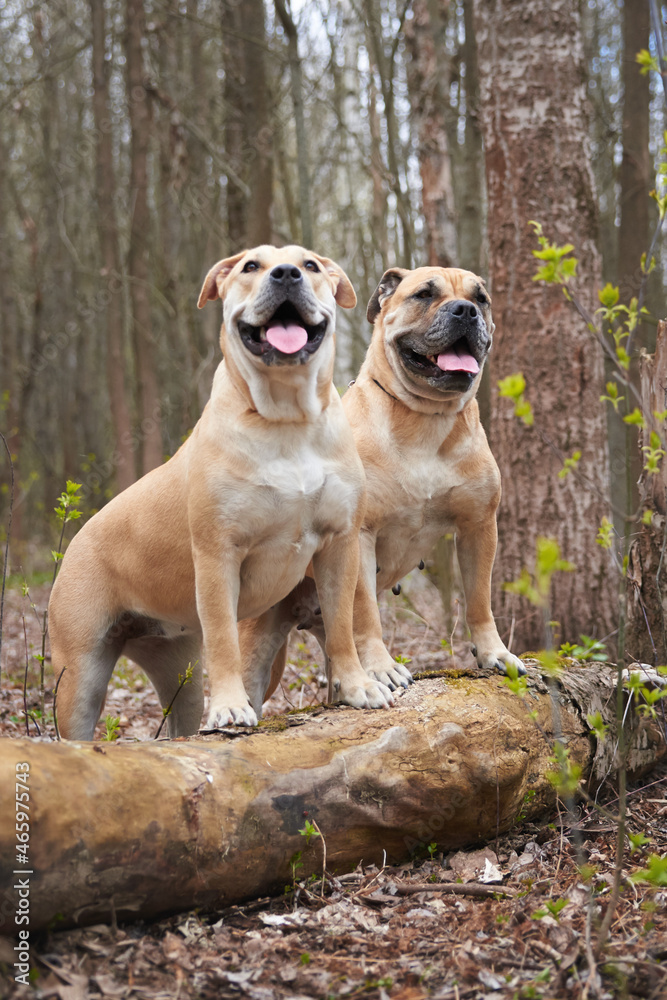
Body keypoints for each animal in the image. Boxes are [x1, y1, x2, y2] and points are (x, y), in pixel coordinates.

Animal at [52, 245, 396, 740]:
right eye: (251, 266)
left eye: (310, 265)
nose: (286, 274)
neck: (286, 419)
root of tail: (75, 542)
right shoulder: (219, 554)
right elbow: (223, 639)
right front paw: (232, 707)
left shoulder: (340, 545)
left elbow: (341, 624)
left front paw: (355, 686)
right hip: (80, 675)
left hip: (177, 671)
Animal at [240, 266, 528, 704]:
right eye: (424, 294)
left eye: (482, 299)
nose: (465, 311)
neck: (425, 420)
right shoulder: (360, 534)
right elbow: (365, 612)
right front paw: (382, 668)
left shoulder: (478, 525)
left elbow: (479, 599)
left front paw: (494, 653)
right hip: (255, 647)